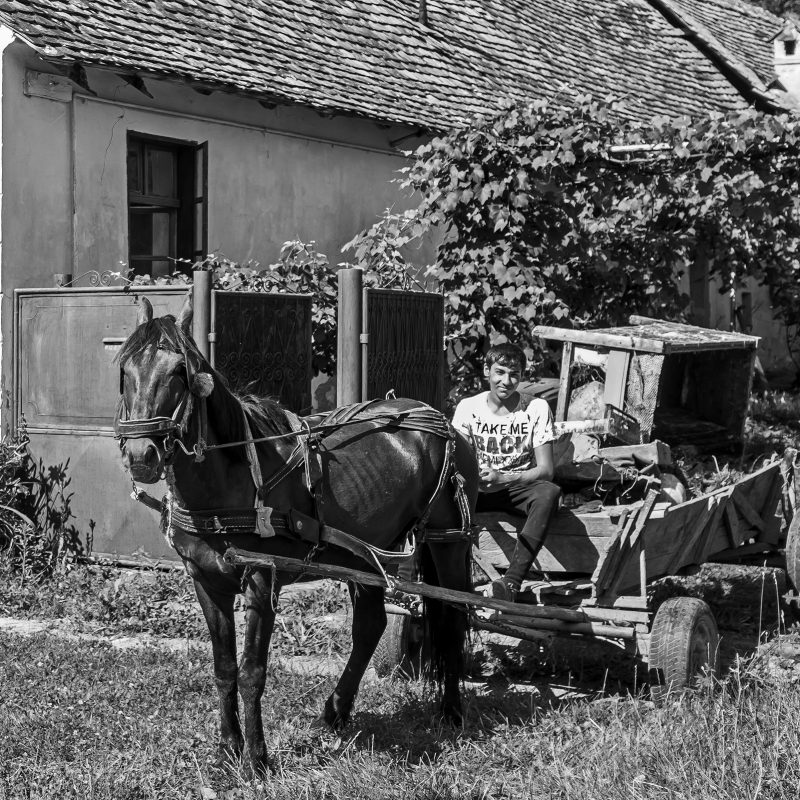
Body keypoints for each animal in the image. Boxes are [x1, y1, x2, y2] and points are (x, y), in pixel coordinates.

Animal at [115, 296, 478, 776]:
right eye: (124, 369)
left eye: (178, 371)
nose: (142, 456)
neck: (229, 477)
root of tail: (441, 419)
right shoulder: (206, 582)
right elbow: (224, 667)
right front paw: (227, 749)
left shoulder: (260, 579)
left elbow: (252, 671)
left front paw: (256, 758)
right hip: (365, 554)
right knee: (371, 625)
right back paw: (337, 711)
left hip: (448, 539)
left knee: (452, 617)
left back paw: (451, 710)